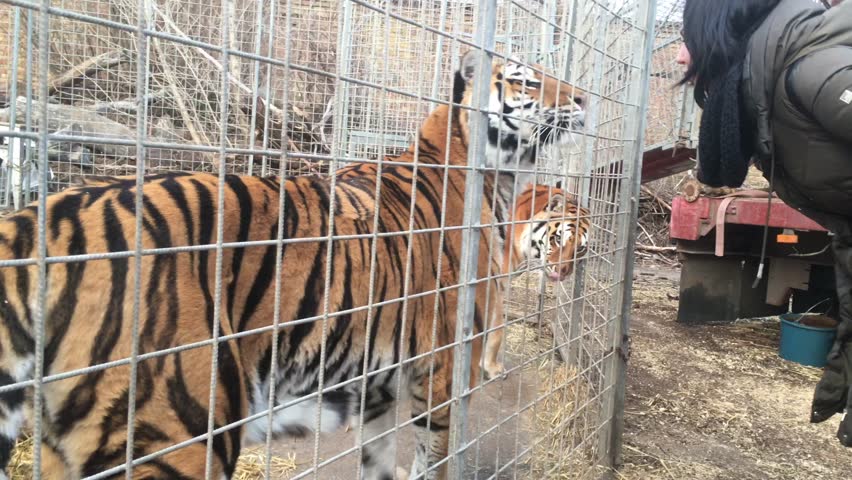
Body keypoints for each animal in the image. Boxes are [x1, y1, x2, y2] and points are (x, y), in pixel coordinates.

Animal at [0, 50, 585, 480]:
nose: (583, 98)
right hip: (178, 430)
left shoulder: (376, 385)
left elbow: (380, 460)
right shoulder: (438, 363)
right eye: (527, 81)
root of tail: (40, 217)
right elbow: (436, 452)